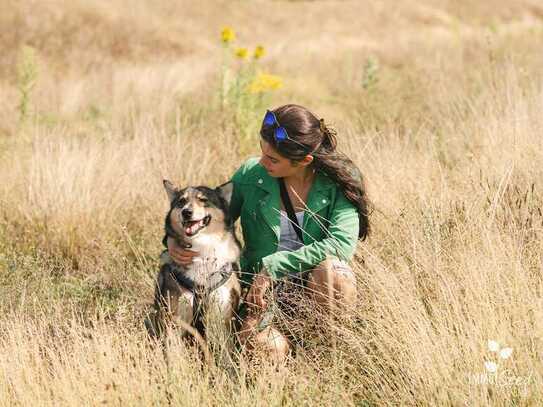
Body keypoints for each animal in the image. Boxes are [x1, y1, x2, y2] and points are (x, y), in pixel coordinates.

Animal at [148, 181, 243, 342]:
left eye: (203, 200)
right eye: (182, 201)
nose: (186, 212)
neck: (202, 250)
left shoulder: (224, 319)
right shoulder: (174, 320)